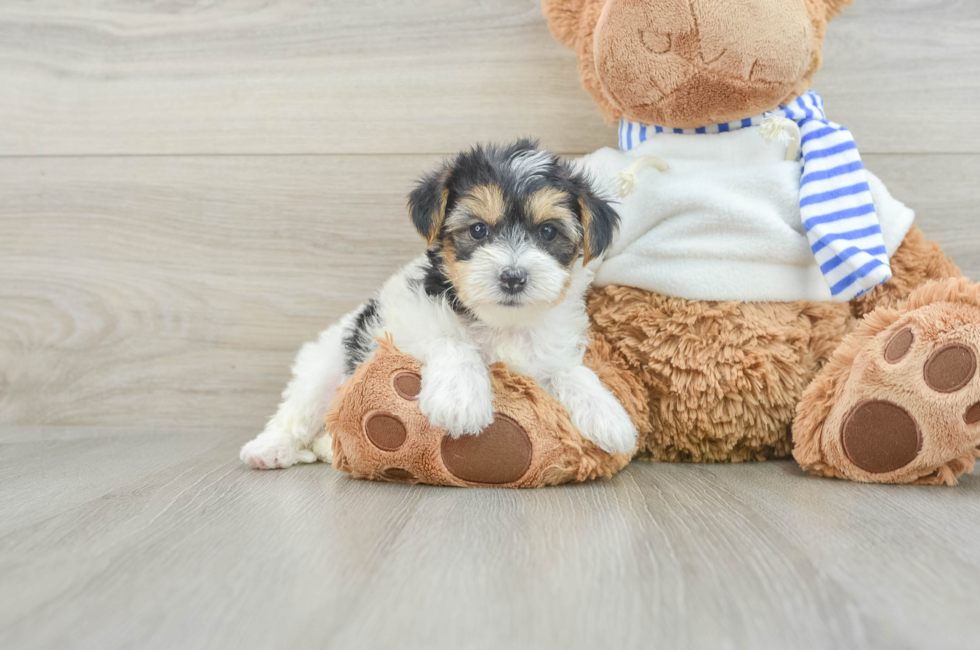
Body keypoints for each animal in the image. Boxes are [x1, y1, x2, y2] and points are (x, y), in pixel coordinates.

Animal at [241, 139, 640, 468]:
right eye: (478, 230)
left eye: (547, 231)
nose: (513, 277)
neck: (500, 323)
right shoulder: (405, 323)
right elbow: (452, 341)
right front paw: (460, 397)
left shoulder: (546, 354)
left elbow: (570, 370)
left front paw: (608, 413)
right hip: (324, 367)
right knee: (298, 411)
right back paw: (270, 449)